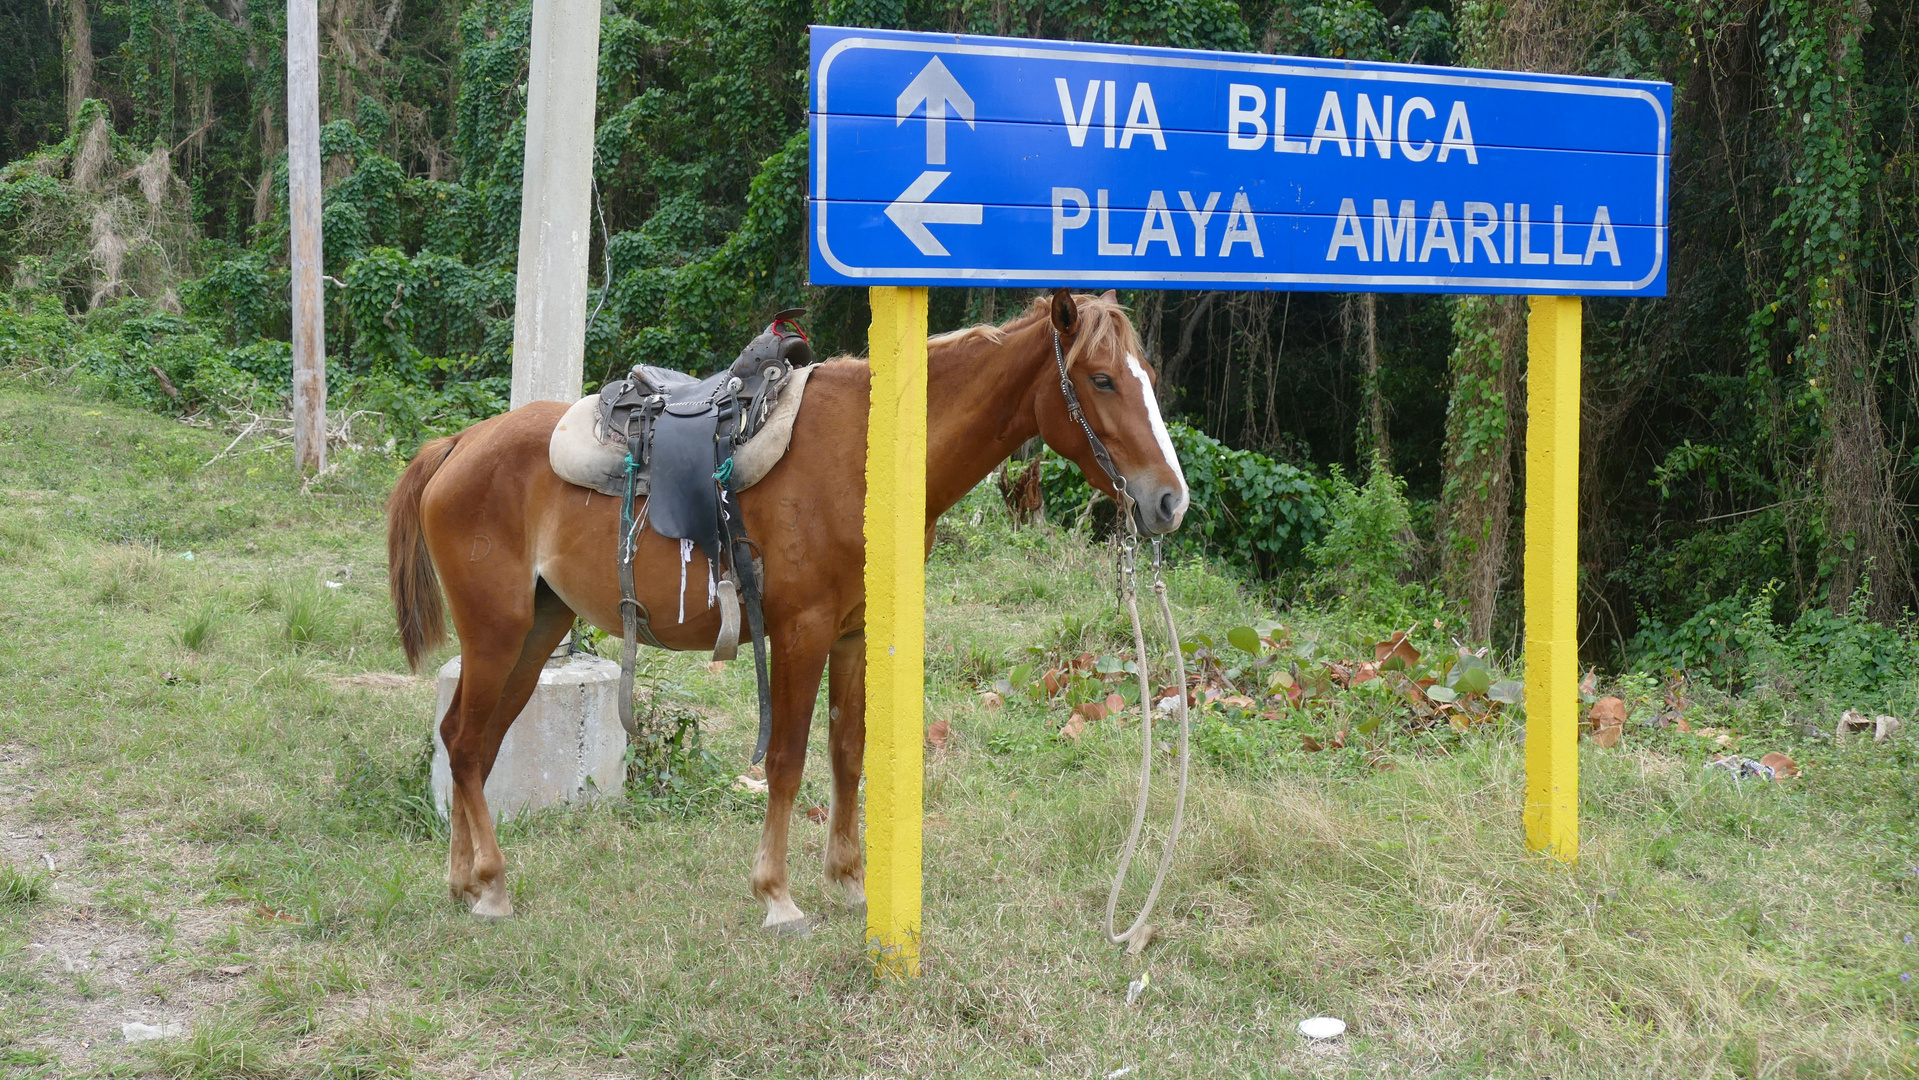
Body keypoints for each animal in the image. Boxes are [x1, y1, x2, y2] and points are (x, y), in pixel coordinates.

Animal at [385, 287, 1182, 928]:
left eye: (1147, 379)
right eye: (1102, 378)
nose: (1170, 501)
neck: (867, 459)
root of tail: (459, 444)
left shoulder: (856, 634)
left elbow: (846, 753)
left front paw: (849, 882)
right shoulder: (801, 632)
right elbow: (788, 759)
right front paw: (777, 895)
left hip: (535, 632)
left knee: (469, 744)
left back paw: (464, 883)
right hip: (496, 633)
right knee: (465, 745)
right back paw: (490, 885)